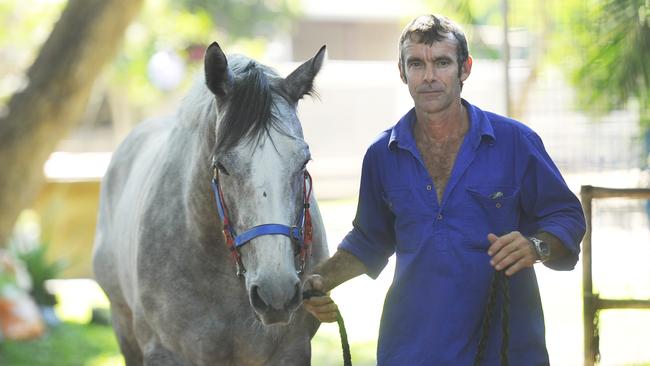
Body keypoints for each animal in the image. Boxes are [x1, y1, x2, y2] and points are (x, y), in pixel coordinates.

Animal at [92, 41, 330, 364]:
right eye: (222, 166)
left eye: (304, 160)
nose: (276, 292)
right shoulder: (163, 351)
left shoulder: (291, 350)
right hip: (122, 323)